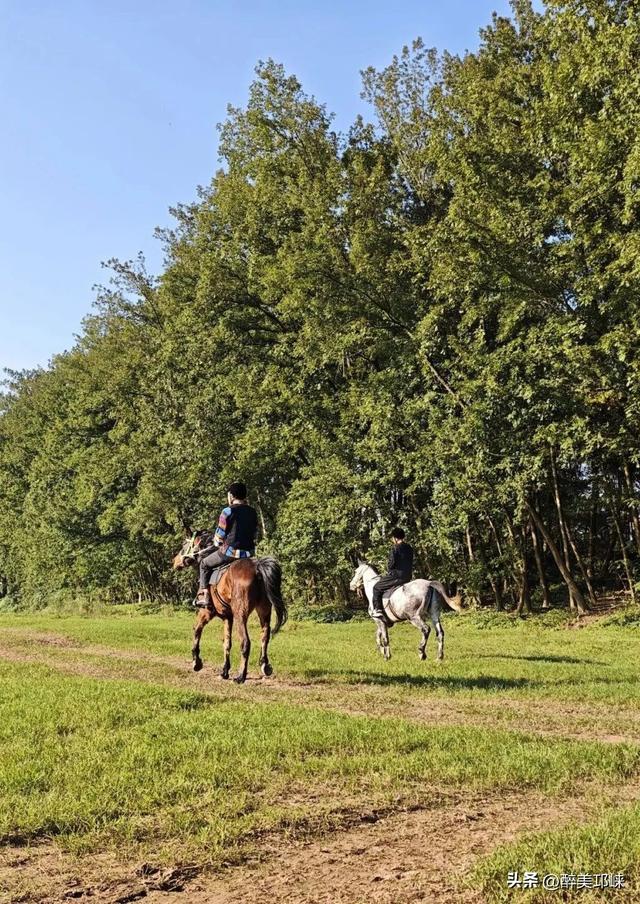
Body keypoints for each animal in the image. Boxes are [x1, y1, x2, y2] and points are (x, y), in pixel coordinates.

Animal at [173, 532, 287, 683]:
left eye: (184, 546)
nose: (174, 562)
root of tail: (257, 568)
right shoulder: (228, 617)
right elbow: (227, 642)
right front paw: (224, 671)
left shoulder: (206, 612)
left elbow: (196, 630)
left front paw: (196, 662)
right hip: (264, 610)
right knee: (265, 636)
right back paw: (265, 666)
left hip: (241, 614)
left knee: (245, 642)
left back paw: (241, 676)